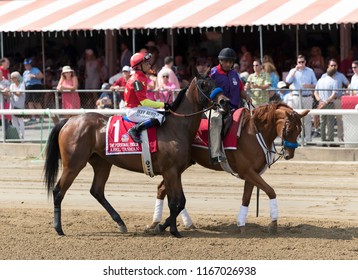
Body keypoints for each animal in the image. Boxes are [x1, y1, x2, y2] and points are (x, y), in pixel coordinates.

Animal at [43, 75, 220, 237]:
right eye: (205, 85)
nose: (223, 101)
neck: (175, 127)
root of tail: (69, 121)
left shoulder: (176, 172)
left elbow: (181, 201)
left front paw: (164, 227)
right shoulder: (170, 171)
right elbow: (174, 202)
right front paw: (173, 231)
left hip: (102, 163)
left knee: (97, 191)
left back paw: (121, 223)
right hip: (73, 164)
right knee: (58, 191)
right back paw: (59, 228)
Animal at [149, 103, 310, 232]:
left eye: (299, 130)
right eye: (289, 130)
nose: (289, 155)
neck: (254, 133)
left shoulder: (252, 173)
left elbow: (246, 198)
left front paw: (241, 223)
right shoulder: (247, 172)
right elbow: (271, 191)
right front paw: (273, 223)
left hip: (178, 166)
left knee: (162, 189)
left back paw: (164, 223)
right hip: (174, 167)